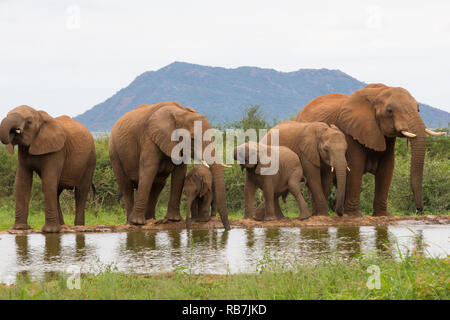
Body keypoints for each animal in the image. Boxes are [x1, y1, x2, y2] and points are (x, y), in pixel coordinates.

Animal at [108, 101, 229, 229]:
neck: (181, 113)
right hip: (114, 152)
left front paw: (173, 220)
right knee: (126, 185)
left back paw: (150, 219)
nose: (227, 229)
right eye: (192, 139)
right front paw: (137, 222)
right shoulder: (149, 138)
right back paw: (131, 222)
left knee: (157, 185)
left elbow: (180, 173)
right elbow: (148, 170)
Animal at [296, 84, 442, 216]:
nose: (419, 210)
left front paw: (383, 215)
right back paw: (319, 215)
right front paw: (354, 216)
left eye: (418, 109)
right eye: (389, 111)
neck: (377, 93)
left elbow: (387, 168)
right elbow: (355, 167)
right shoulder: (350, 131)